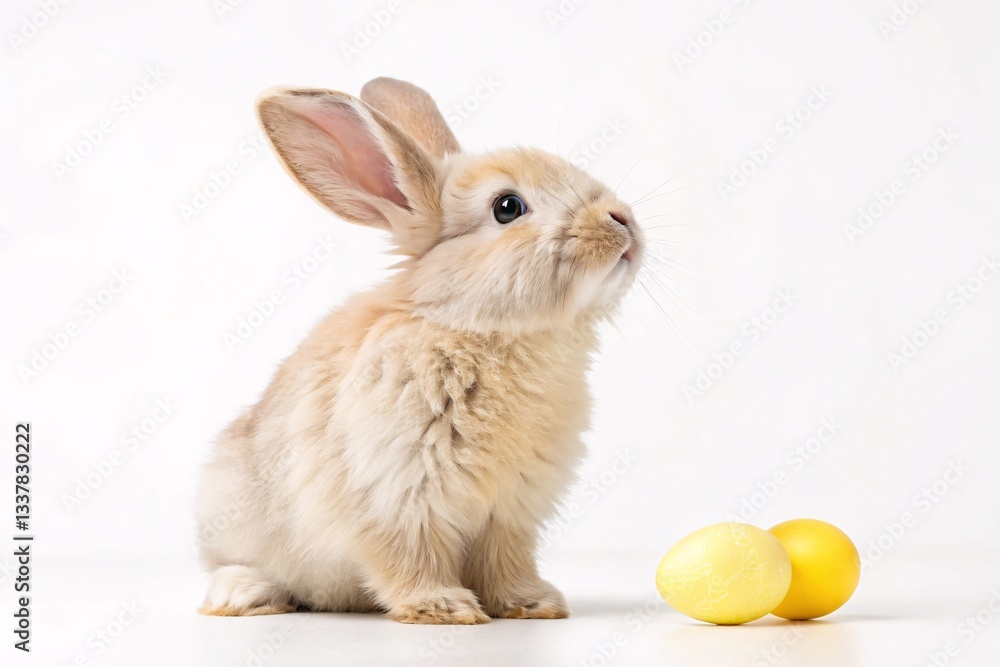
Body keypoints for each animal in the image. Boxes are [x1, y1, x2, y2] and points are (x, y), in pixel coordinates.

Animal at [195, 77, 644, 625]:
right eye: (508, 207)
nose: (623, 220)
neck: (475, 327)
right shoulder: (397, 494)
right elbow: (409, 555)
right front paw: (444, 608)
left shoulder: (510, 510)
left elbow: (506, 562)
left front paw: (532, 604)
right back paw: (243, 595)